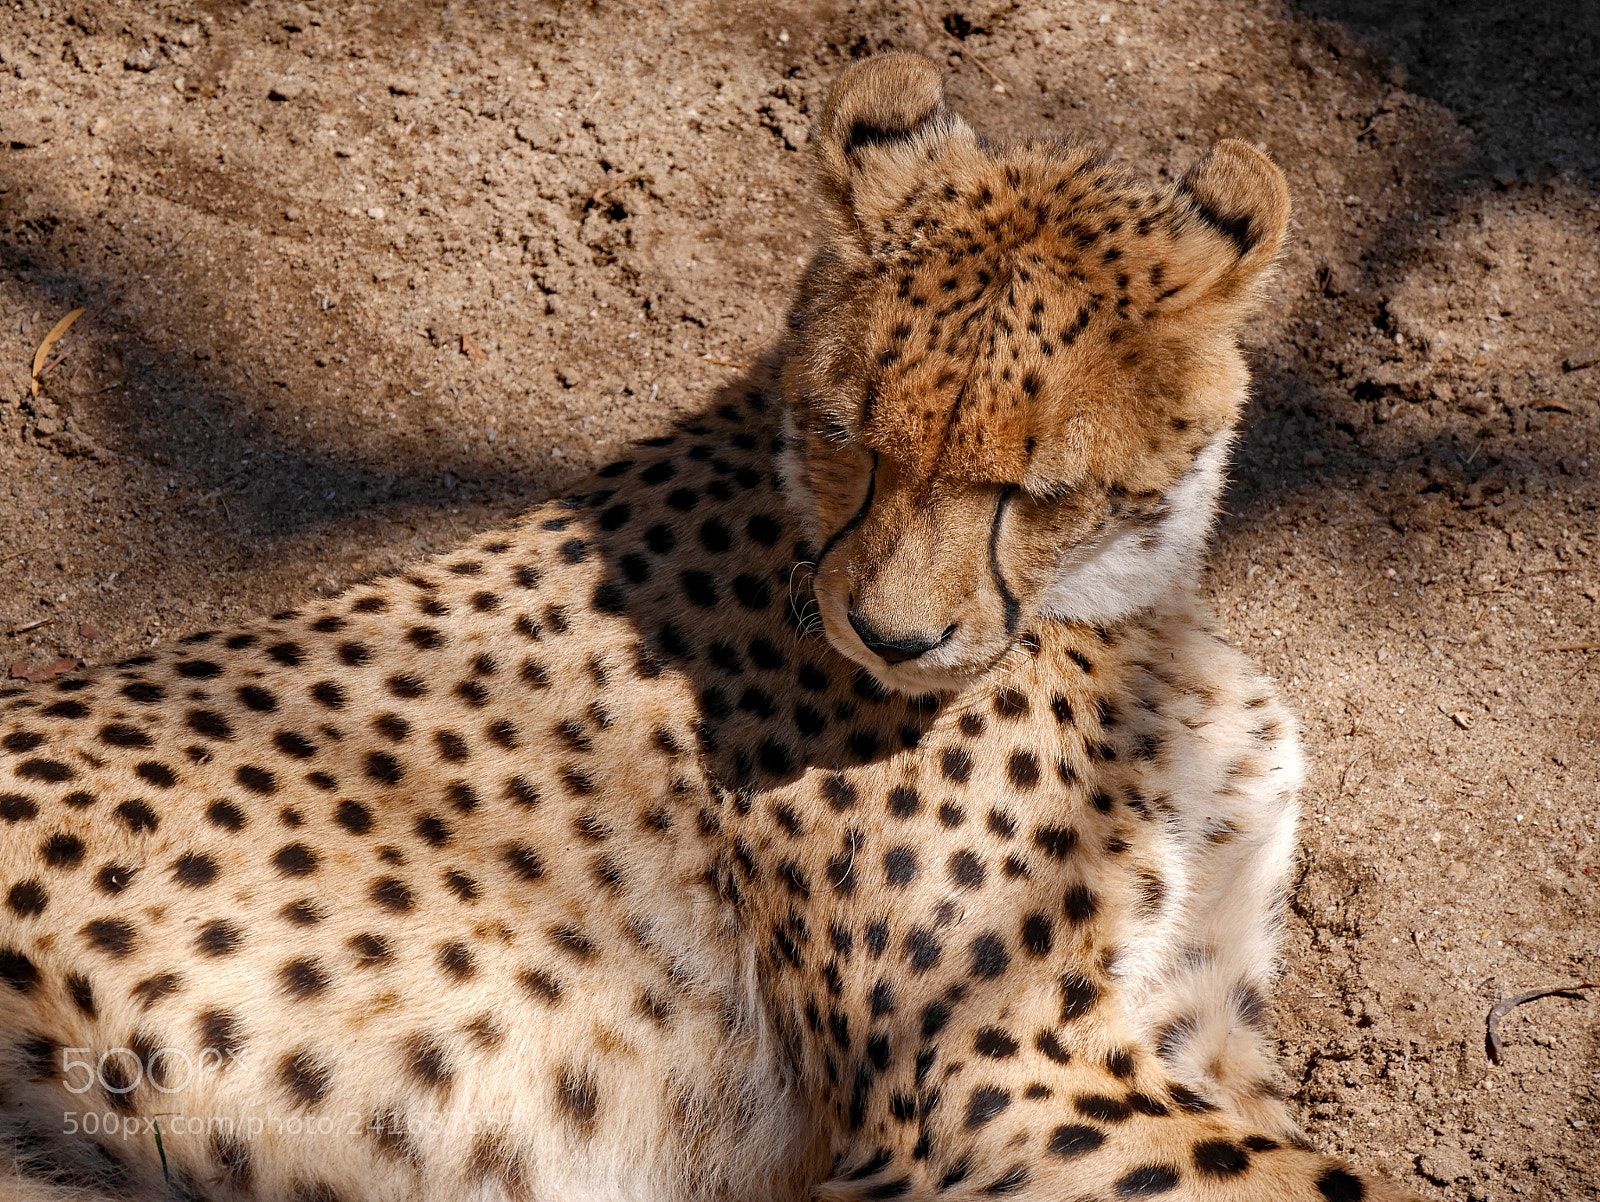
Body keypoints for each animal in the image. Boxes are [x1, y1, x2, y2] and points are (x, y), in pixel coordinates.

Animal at [0, 54, 1416, 1202]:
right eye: (852, 435)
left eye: (1035, 488)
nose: (890, 639)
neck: (1132, 613)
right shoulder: (988, 1078)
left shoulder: (1185, 1028)